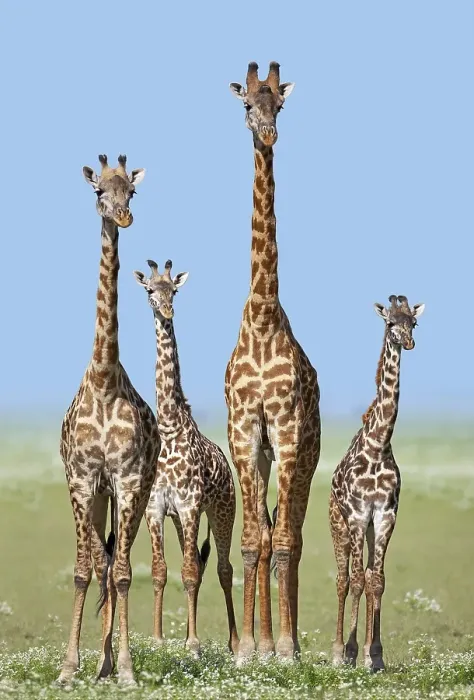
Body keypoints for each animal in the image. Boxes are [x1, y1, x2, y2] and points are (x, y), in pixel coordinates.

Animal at [133, 259, 239, 656]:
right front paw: (159, 638)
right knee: (193, 559)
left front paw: (193, 643)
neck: (169, 427)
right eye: (150, 290)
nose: (166, 310)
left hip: (223, 510)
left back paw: (235, 642)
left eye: (174, 290)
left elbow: (192, 572)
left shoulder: (191, 503)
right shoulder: (156, 508)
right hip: (181, 520)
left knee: (222, 568)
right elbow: (162, 571)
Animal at [329, 295, 425, 671]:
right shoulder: (357, 515)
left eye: (414, 322)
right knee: (343, 579)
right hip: (339, 527)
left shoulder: (384, 515)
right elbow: (356, 580)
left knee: (368, 575)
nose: (408, 342)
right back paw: (336, 651)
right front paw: (351, 652)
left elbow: (377, 581)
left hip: (369, 529)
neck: (378, 445)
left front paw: (376, 654)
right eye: (390, 323)